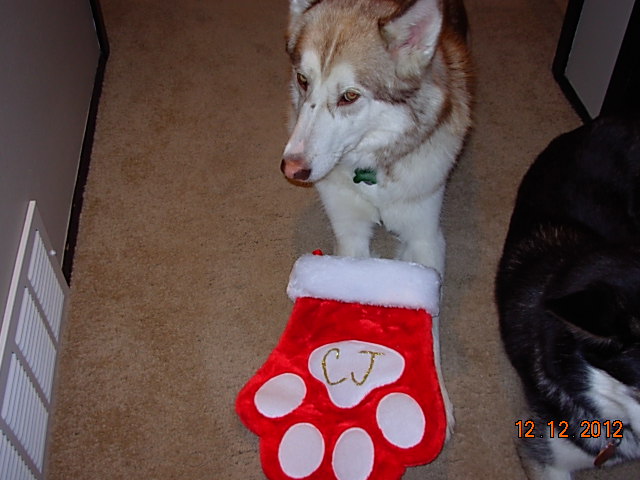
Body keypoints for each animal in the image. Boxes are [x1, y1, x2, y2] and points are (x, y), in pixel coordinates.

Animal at [278, 0, 470, 436]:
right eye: (302, 80)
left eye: (350, 96)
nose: (291, 168)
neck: (370, 173)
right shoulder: (349, 233)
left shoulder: (426, 236)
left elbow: (430, 319)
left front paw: (438, 397)